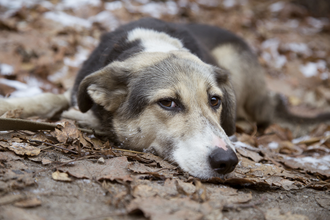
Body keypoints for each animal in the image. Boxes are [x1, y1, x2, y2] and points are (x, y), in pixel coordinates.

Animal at [0, 18, 330, 179]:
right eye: (168, 103)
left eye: (215, 101)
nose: (227, 161)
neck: (152, 45)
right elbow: (47, 98)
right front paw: (11, 105)